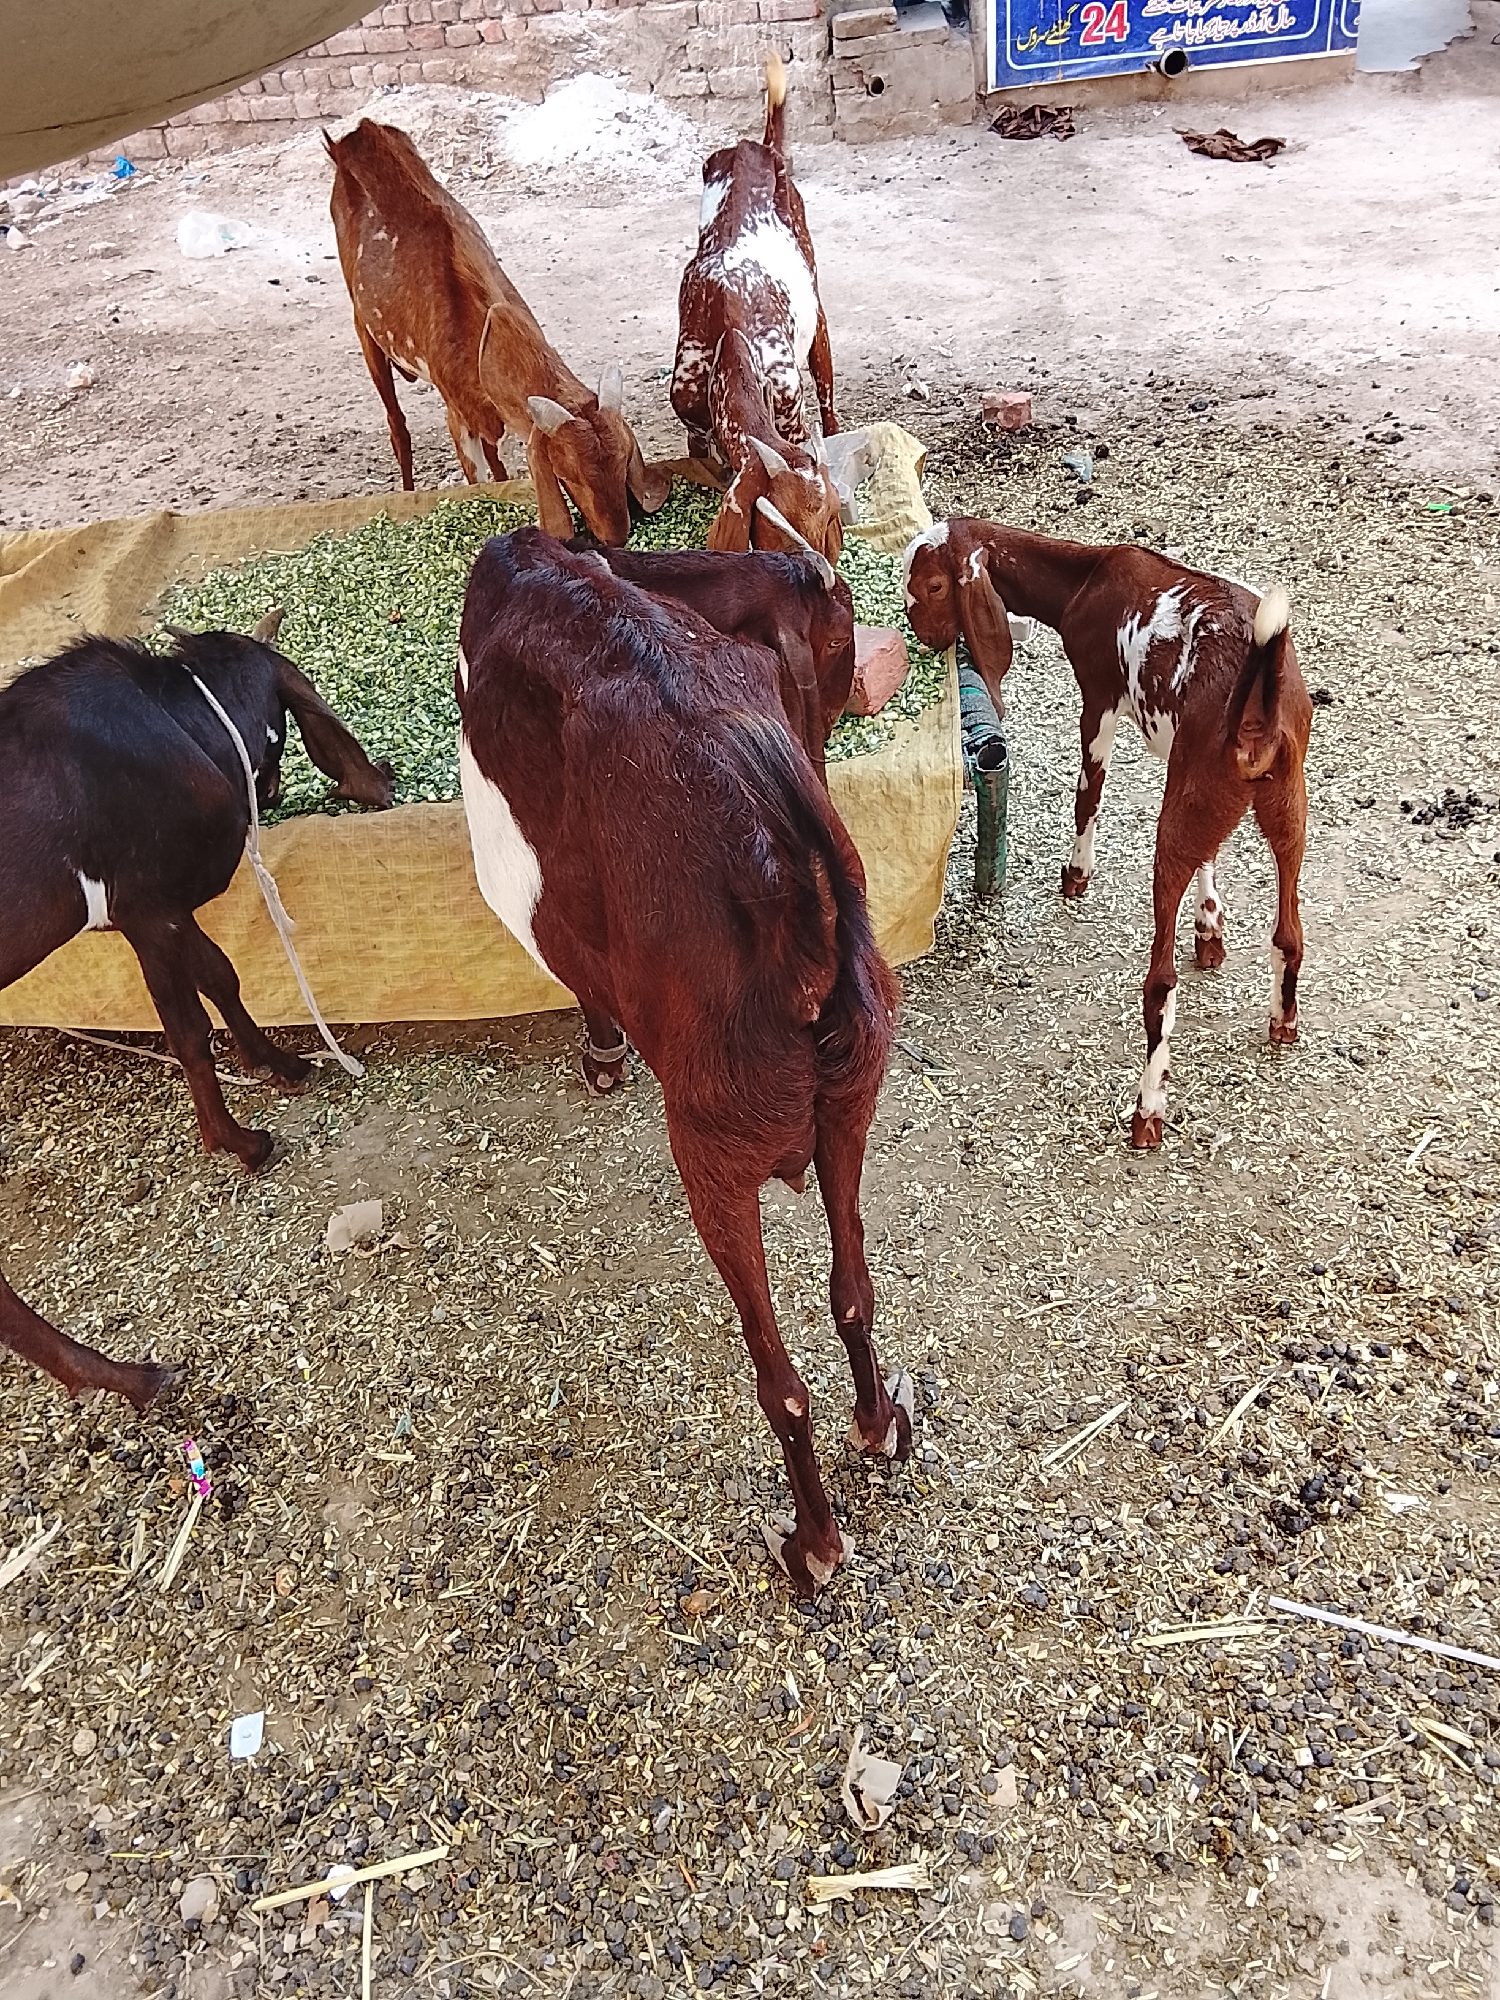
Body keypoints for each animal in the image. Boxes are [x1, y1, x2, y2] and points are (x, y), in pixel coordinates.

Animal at [0, 613, 394, 1174]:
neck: (183, 725)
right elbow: (187, 1029)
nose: (270, 792)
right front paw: (236, 1141)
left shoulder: (170, 907)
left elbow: (221, 977)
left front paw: (278, 1063)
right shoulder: (145, 910)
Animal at [326, 119, 668, 543]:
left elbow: (499, 465)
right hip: (364, 327)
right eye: (567, 474)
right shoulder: (458, 414)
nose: (615, 537)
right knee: (397, 425)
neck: (486, 337)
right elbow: (478, 476)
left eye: (623, 462)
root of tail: (358, 132)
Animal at [456, 528, 907, 1595]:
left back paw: (813, 1544)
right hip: (851, 1104)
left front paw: (601, 1057)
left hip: (714, 1154)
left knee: (781, 1383)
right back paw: (878, 1426)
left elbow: (581, 982)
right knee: (853, 1290)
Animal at [671, 56, 843, 565]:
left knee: (827, 391)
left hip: (816, 308)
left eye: (831, 522)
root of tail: (758, 147)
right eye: (777, 534)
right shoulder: (692, 415)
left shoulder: (791, 412)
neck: (728, 331)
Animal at [904, 518, 1311, 1149]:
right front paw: (1210, 928)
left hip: (1183, 822)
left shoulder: (1098, 696)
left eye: (932, 585)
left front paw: (1076, 875)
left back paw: (1147, 1112)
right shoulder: (1185, 771)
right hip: (1287, 804)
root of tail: (1257, 722)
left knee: (1162, 982)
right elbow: (1210, 855)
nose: (915, 636)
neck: (1087, 576)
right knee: (1290, 934)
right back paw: (1281, 1022)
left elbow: (1088, 794)